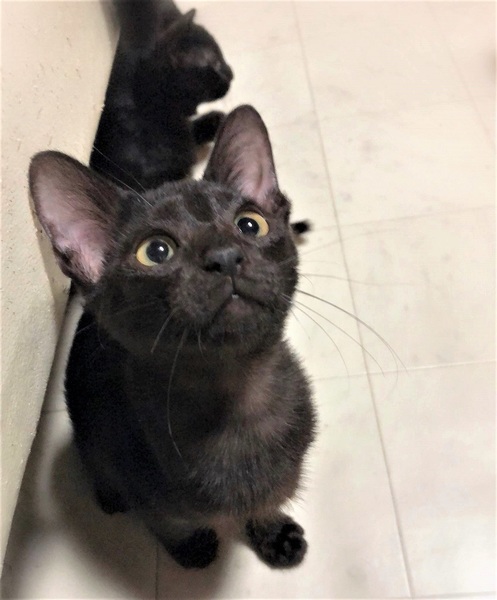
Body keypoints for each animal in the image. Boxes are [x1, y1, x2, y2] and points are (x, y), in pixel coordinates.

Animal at [29, 105, 316, 570]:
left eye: (250, 224)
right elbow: (166, 522)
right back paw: (109, 496)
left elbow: (267, 499)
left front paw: (274, 531)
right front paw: (193, 549)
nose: (225, 256)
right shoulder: (146, 491)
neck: (236, 404)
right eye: (156, 251)